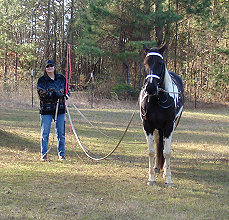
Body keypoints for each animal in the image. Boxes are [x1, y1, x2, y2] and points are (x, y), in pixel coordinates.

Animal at [140, 44, 184, 187]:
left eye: (160, 63)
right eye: (146, 62)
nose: (150, 87)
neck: (157, 100)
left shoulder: (169, 126)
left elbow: (167, 152)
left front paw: (168, 179)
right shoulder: (147, 125)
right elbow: (151, 151)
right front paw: (151, 178)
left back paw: (164, 170)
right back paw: (156, 167)